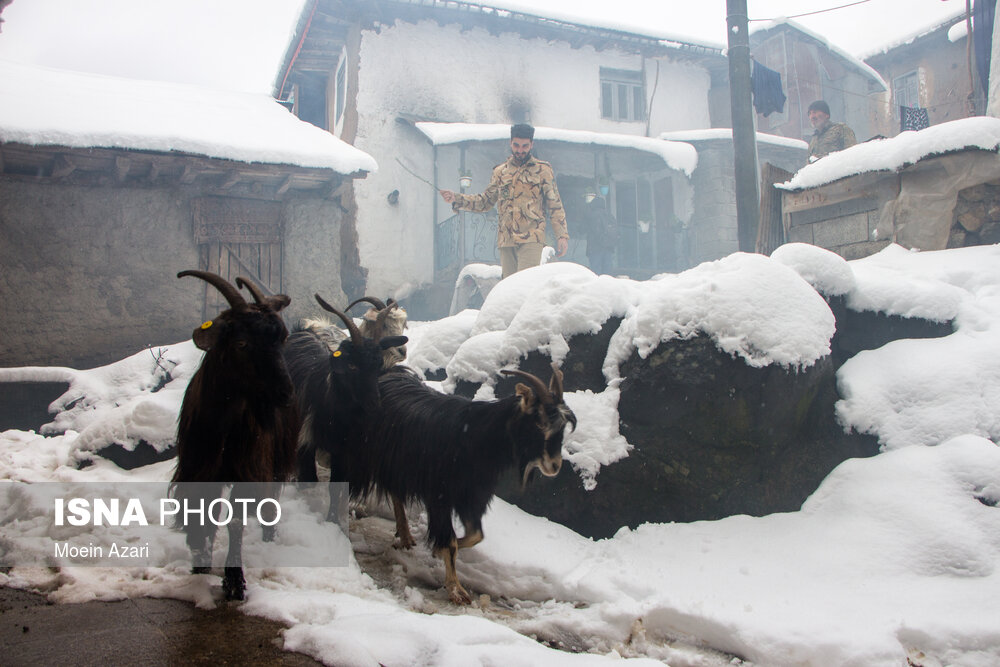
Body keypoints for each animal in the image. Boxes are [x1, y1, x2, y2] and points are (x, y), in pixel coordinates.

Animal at [172, 268, 298, 604]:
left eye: (282, 339)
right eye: (241, 343)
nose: (285, 394)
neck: (223, 428)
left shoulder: (249, 467)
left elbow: (236, 522)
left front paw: (234, 582)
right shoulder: (197, 469)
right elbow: (200, 512)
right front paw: (200, 563)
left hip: (275, 460)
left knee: (271, 500)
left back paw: (269, 537)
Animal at [282, 294, 406, 520]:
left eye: (403, 324)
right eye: (352, 365)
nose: (402, 351)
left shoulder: (344, 452)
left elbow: (338, 487)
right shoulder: (307, 440)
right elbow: (310, 478)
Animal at [360, 366, 580, 604]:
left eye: (562, 428)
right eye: (539, 423)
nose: (555, 466)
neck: (474, 439)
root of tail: (388, 372)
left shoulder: (471, 497)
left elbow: (475, 536)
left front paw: (437, 551)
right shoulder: (440, 497)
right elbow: (450, 543)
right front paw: (456, 590)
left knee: (396, 493)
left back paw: (406, 536)